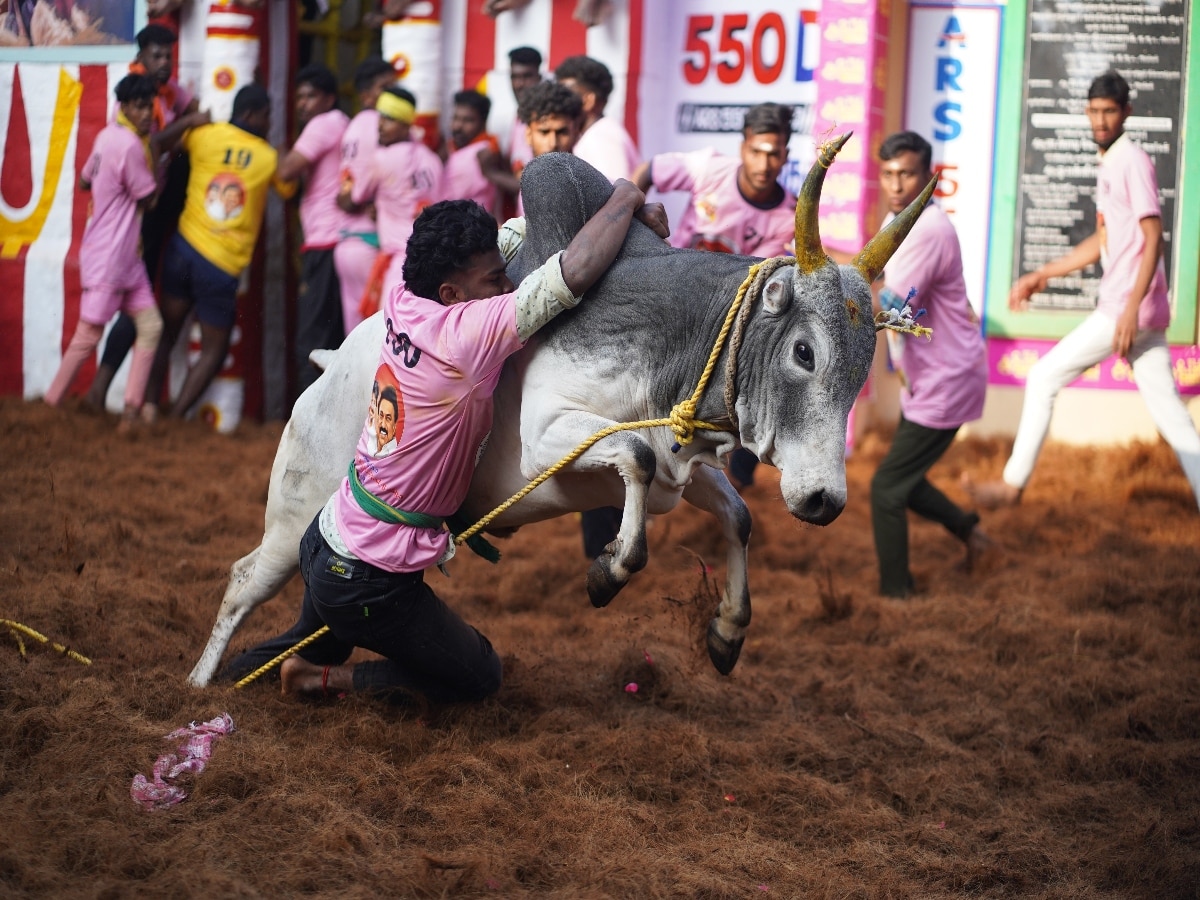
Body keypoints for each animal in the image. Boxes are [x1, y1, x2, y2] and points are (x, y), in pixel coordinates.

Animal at [189, 141, 936, 686]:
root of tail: (326, 368)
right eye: (805, 352)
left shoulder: (686, 470)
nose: (823, 500)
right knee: (243, 581)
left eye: (862, 369)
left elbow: (738, 517)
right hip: (296, 513)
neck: (678, 337)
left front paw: (727, 631)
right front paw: (610, 570)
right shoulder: (553, 440)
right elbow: (631, 462)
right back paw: (199, 685)